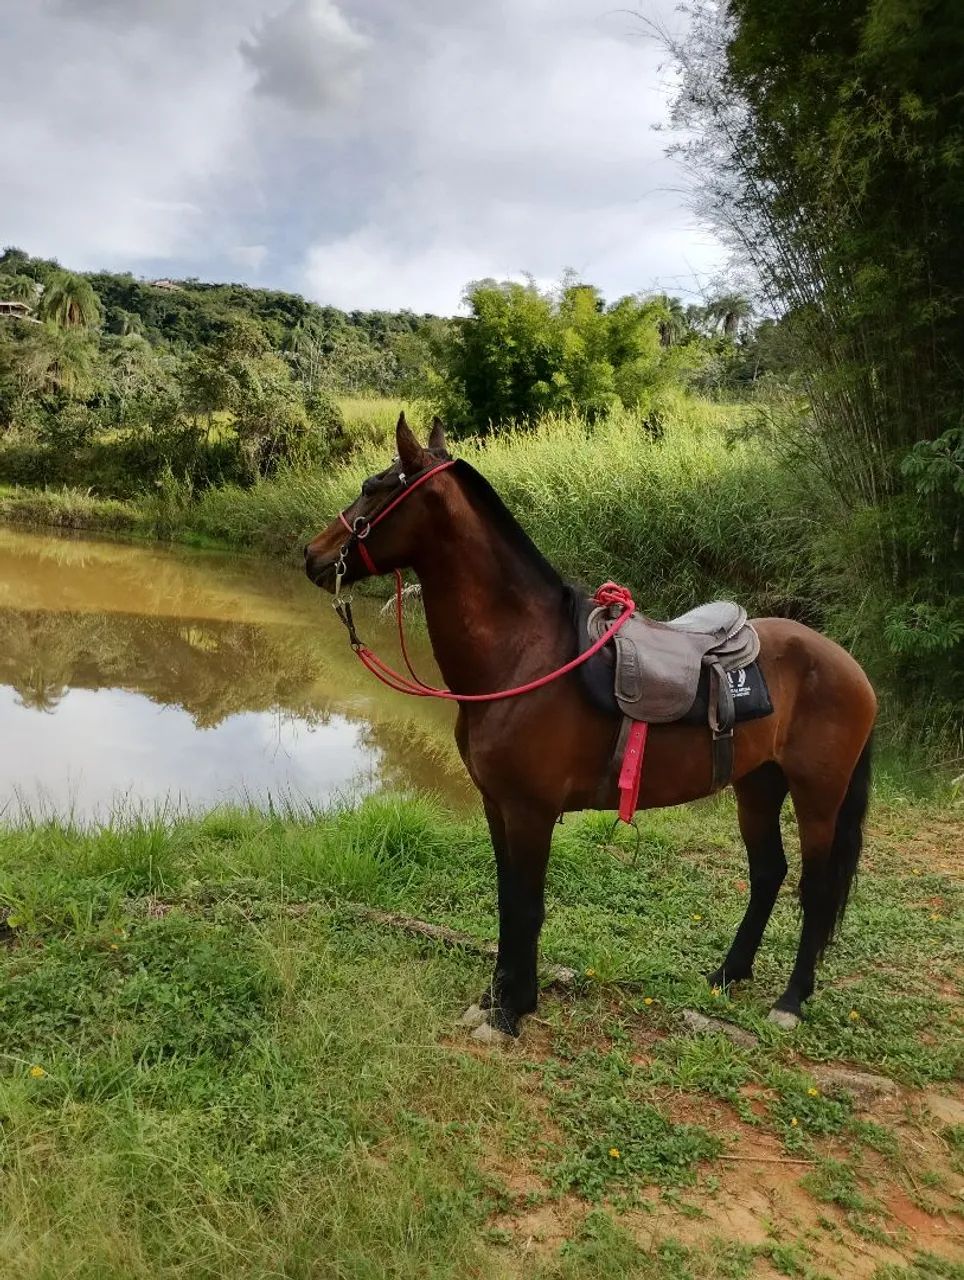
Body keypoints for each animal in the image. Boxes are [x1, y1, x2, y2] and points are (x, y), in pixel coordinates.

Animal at [305, 414, 877, 1041]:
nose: (313, 555)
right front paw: (499, 997)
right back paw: (727, 975)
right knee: (768, 873)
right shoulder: (497, 806)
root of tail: (848, 666)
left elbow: (526, 907)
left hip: (817, 798)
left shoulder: (530, 811)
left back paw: (791, 1001)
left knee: (814, 891)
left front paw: (511, 1012)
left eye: (375, 488)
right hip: (757, 785)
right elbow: (507, 902)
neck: (525, 655)